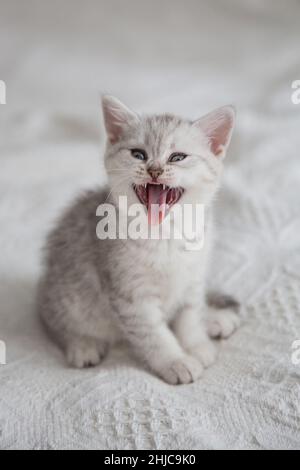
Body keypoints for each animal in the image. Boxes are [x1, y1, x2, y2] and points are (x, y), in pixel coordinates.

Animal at [37, 93, 240, 384]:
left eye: (177, 157)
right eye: (138, 154)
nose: (154, 169)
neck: (166, 234)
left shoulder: (193, 278)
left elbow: (189, 316)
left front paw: (196, 344)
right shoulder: (132, 295)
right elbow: (154, 334)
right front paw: (176, 361)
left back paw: (214, 319)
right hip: (66, 294)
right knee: (53, 320)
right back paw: (82, 344)